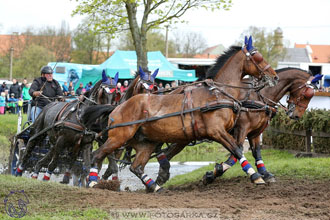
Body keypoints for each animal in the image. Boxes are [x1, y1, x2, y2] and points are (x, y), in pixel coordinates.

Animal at [87, 37, 278, 192]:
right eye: (257, 56)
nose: (274, 76)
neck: (218, 94)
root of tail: (118, 107)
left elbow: (240, 151)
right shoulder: (217, 131)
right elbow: (237, 150)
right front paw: (256, 176)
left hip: (145, 143)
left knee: (136, 167)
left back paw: (155, 186)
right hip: (119, 137)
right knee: (97, 155)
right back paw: (92, 182)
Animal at [159, 68, 318, 185]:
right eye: (307, 94)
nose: (296, 116)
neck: (258, 95)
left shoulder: (255, 132)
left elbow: (256, 152)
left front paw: (265, 173)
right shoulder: (241, 129)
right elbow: (236, 153)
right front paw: (213, 173)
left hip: (183, 137)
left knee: (166, 154)